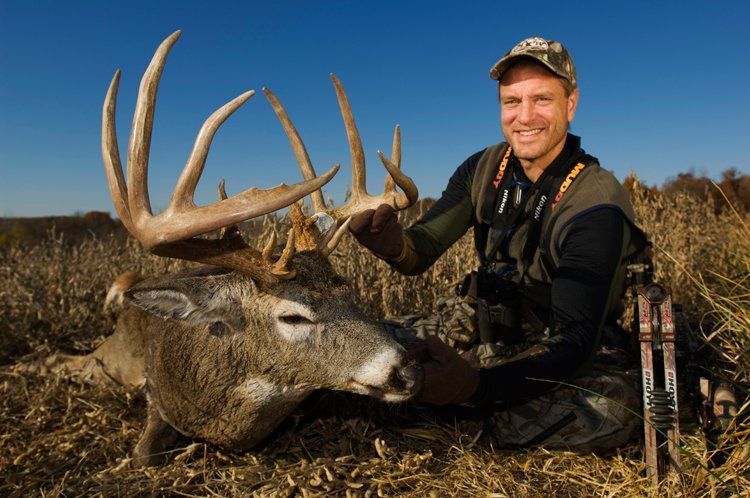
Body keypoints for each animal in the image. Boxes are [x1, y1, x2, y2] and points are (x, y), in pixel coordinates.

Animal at [32, 30, 424, 467]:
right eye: (292, 317)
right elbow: (142, 455)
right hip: (112, 358)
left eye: (352, 294)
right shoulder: (157, 398)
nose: (407, 370)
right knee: (65, 361)